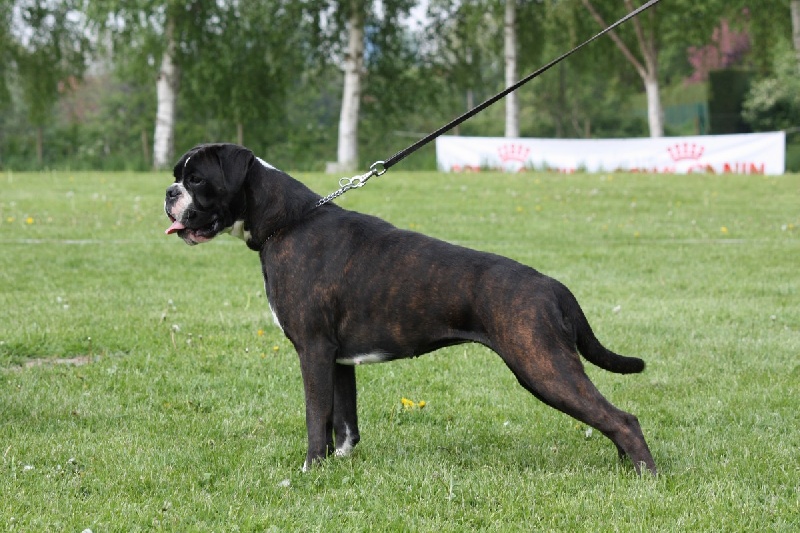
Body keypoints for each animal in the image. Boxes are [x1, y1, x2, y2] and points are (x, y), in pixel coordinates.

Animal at [162, 142, 656, 474]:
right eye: (177, 175)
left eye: (197, 179)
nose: (168, 192)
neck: (287, 220)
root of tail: (552, 286)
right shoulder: (337, 359)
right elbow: (343, 421)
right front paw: (340, 464)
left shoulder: (313, 351)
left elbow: (315, 418)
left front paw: (310, 471)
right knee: (610, 419)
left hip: (542, 366)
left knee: (623, 418)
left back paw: (645, 475)